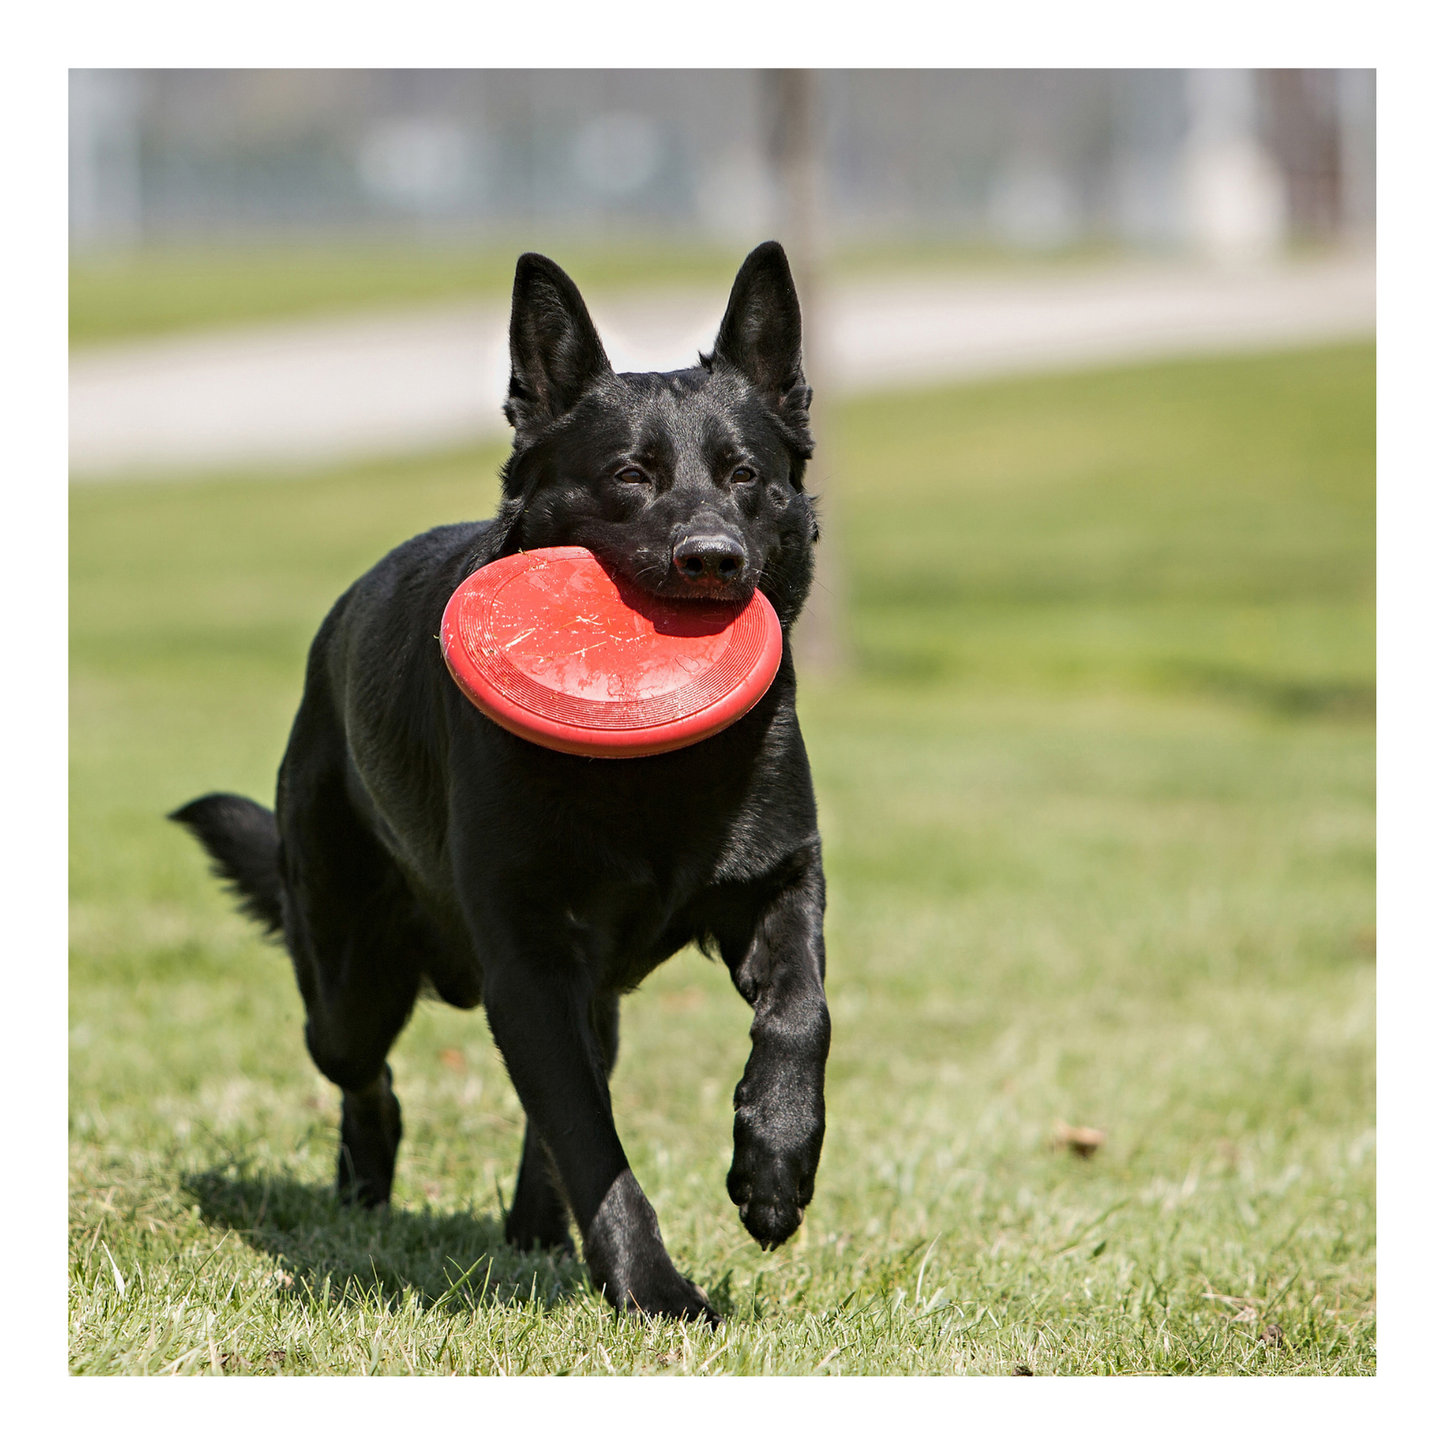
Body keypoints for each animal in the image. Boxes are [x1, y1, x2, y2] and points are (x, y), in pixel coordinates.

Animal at [171, 239, 826, 1323]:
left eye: (746, 476)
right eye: (629, 476)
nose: (711, 559)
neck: (656, 774)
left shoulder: (778, 883)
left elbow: (798, 1015)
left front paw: (773, 1166)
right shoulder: (527, 957)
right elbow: (589, 1138)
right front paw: (653, 1288)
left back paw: (534, 1230)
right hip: (351, 977)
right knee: (368, 1072)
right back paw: (370, 1182)